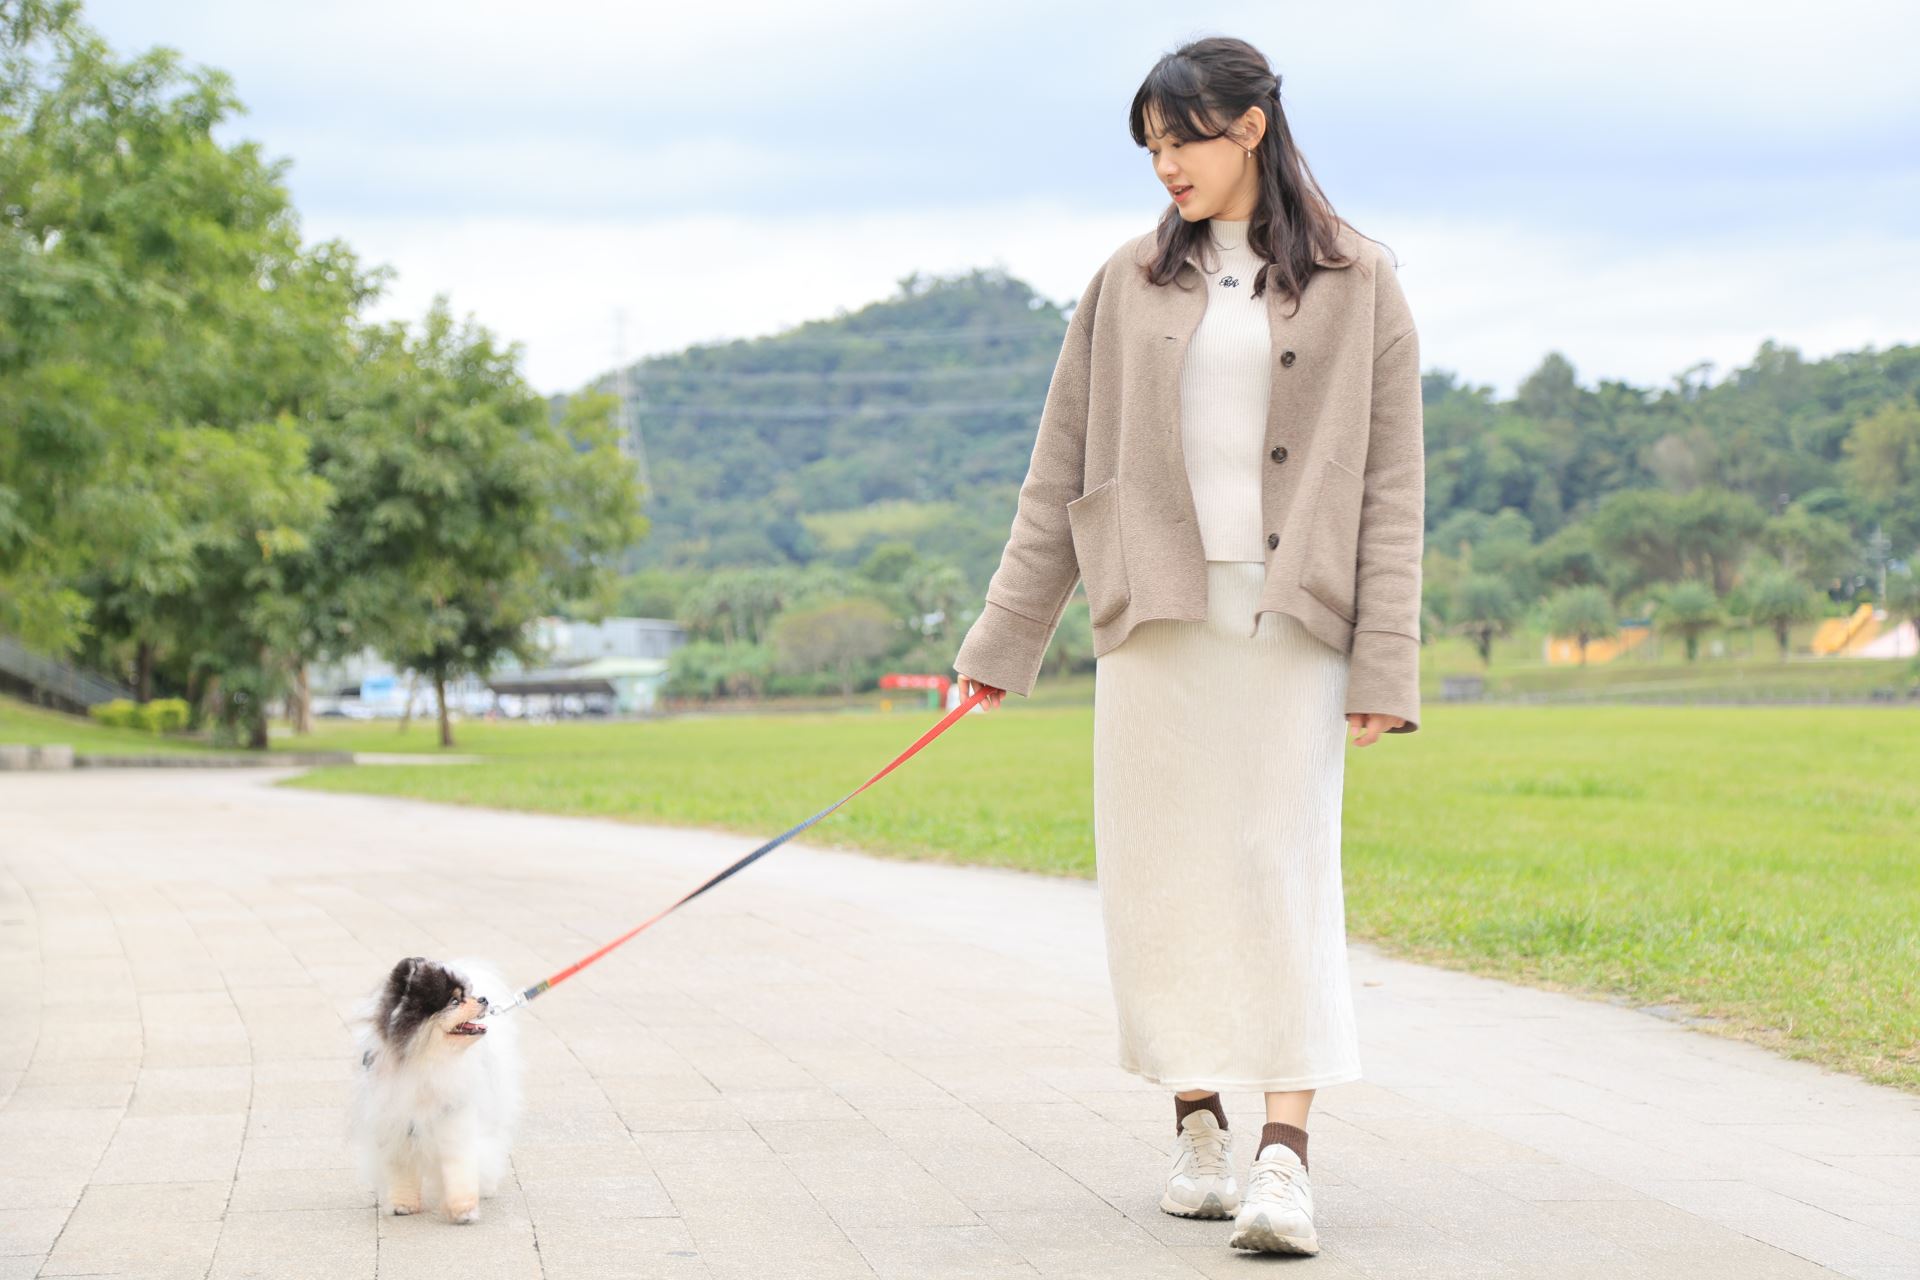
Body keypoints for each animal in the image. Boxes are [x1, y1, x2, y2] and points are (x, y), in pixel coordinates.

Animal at [347, 956, 522, 1223]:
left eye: (468, 994)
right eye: (454, 1001)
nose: (483, 999)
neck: (427, 1063)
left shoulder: (454, 1119)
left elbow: (460, 1168)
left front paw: (464, 1210)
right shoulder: (398, 1123)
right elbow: (401, 1169)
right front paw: (402, 1204)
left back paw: (487, 1186)